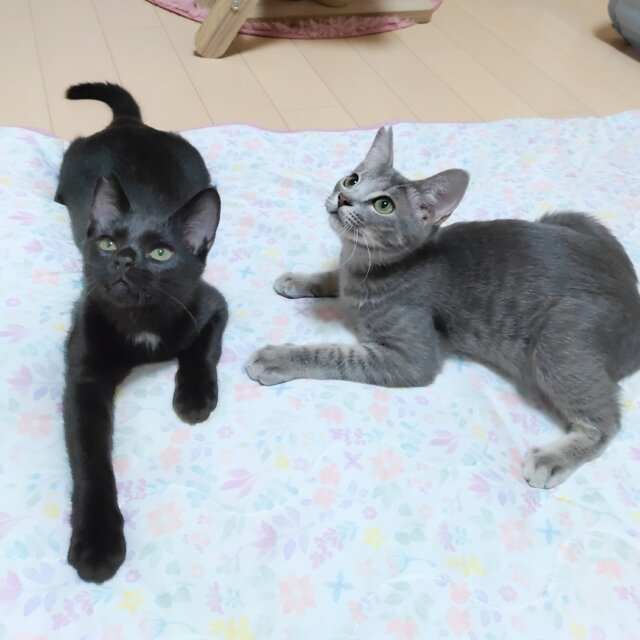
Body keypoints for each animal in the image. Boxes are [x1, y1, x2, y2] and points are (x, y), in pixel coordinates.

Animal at [55, 83, 228, 583]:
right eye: (108, 242)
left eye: (161, 253)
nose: (125, 258)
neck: (141, 322)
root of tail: (129, 124)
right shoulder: (84, 375)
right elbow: (92, 462)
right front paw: (97, 543)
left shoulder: (210, 302)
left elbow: (202, 352)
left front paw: (195, 397)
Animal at [246, 126, 640, 490]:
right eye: (353, 178)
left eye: (384, 205)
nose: (343, 196)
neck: (369, 268)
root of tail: (633, 298)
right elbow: (336, 280)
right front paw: (300, 279)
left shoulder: (411, 357)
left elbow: (335, 354)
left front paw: (278, 358)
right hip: (570, 217)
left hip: (558, 344)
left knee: (606, 422)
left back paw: (554, 458)